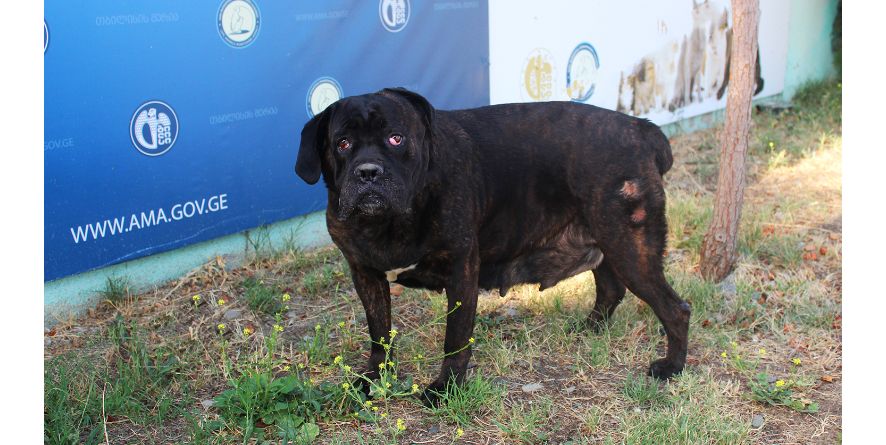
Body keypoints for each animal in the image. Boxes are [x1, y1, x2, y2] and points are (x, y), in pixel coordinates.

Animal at [294, 87, 692, 406]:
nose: (368, 172)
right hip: (607, 242)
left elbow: (455, 338)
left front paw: (445, 388)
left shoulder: (460, 273)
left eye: (396, 138)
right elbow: (379, 334)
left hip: (631, 249)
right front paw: (375, 378)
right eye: (342, 144)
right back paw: (589, 329)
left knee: (675, 309)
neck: (388, 223)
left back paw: (671, 367)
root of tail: (641, 128)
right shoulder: (366, 275)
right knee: (610, 290)